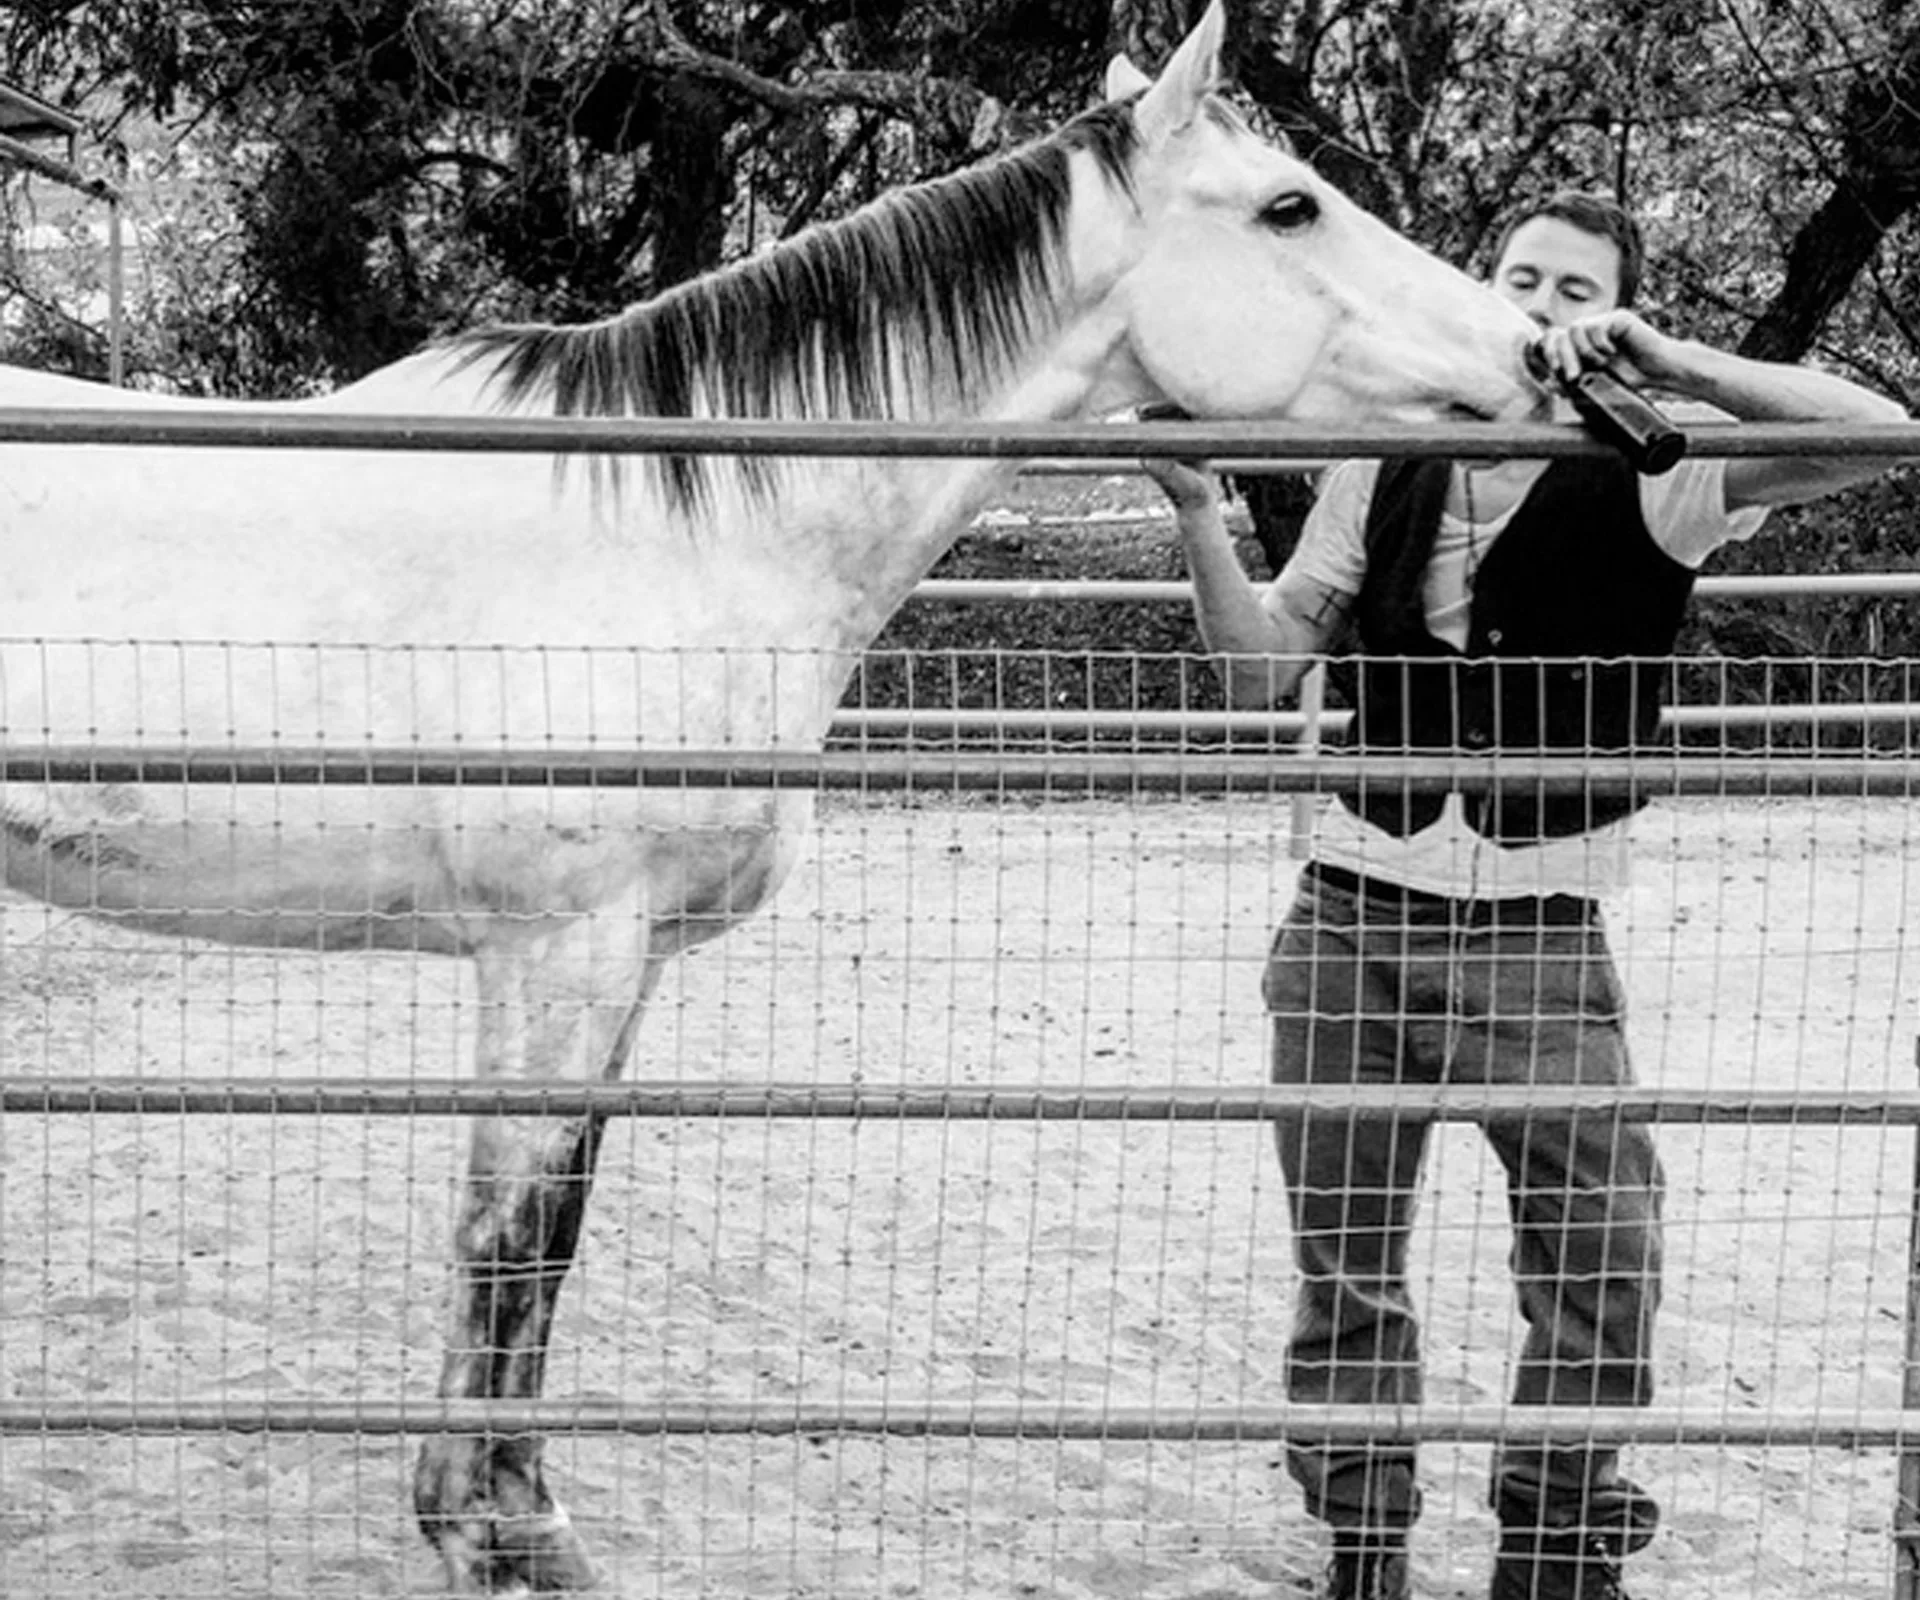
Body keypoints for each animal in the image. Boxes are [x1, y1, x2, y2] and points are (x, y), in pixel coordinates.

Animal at [0, 6, 1528, 1590]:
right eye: (1291, 206)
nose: (1533, 352)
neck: (672, 537)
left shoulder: (624, 968)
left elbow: (556, 1234)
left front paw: (530, 1517)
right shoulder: (559, 953)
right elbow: (507, 1230)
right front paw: (474, 1532)